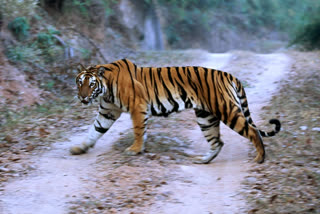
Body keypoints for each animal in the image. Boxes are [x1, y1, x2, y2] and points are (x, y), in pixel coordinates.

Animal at [71, 58, 282, 164]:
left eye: (91, 84)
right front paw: (79, 148)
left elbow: (138, 130)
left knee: (252, 131)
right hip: (205, 117)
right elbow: (94, 130)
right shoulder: (108, 112)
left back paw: (260, 158)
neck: (105, 90)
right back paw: (203, 160)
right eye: (80, 82)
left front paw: (135, 150)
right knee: (217, 142)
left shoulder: (138, 107)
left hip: (226, 109)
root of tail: (228, 74)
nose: (82, 97)